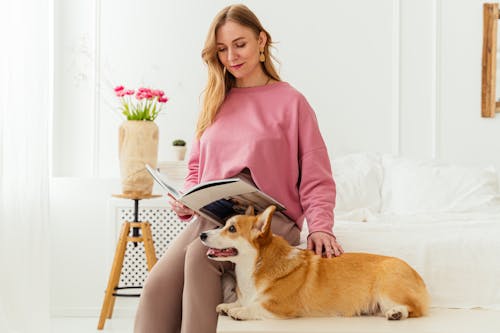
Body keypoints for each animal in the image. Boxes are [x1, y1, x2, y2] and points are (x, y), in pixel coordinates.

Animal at [199, 205, 430, 320]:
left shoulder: (280, 307)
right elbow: (240, 302)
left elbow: (254, 307)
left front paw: (239, 311)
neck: (255, 265)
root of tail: (417, 275)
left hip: (387, 288)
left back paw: (397, 313)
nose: (202, 235)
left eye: (231, 229)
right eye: (225, 225)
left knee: (414, 308)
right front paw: (229, 306)